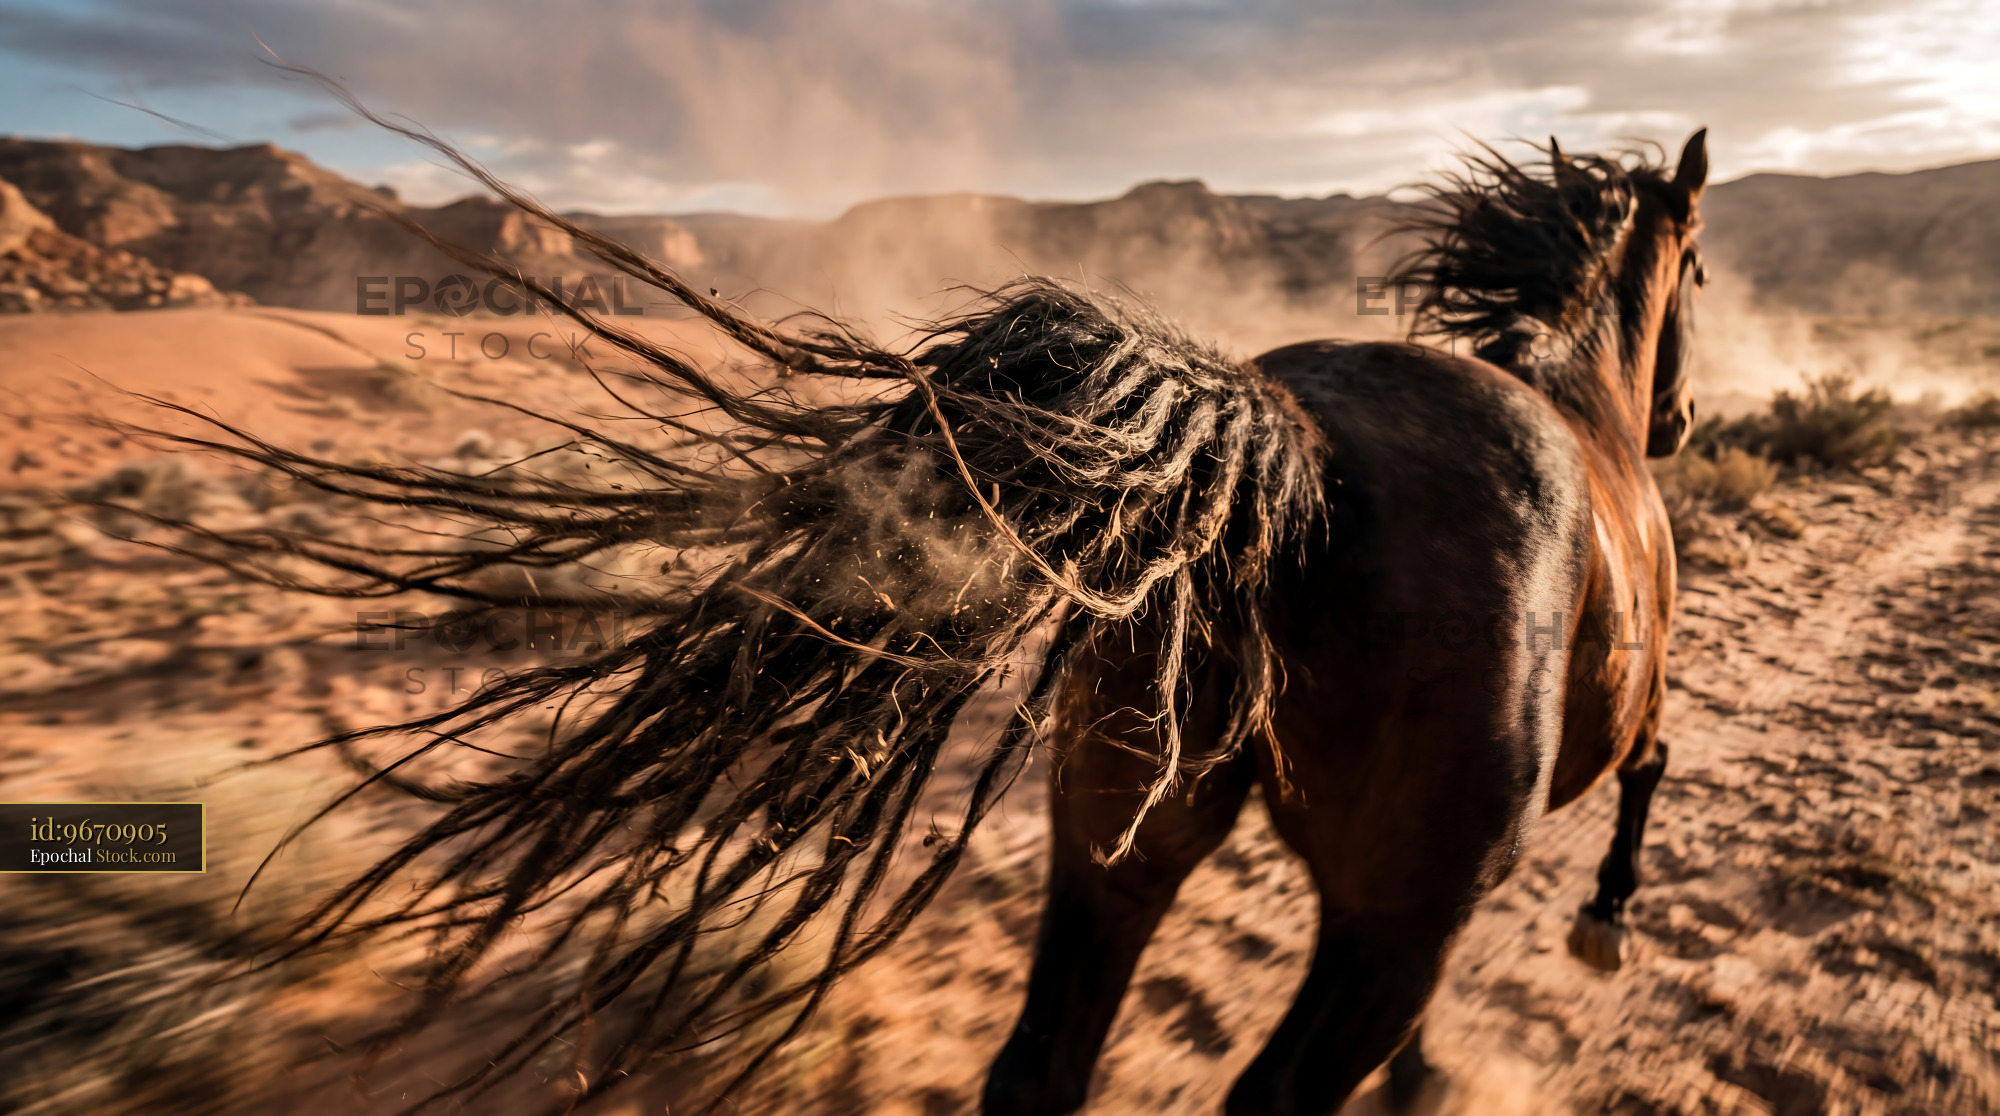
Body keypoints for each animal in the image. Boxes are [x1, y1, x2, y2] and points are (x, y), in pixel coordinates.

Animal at [129, 84, 1705, 1114]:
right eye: (1697, 269)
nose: (1683, 418)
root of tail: (1304, 451)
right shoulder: (1611, 737)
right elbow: (1655, 767)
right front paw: (1598, 928)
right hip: (1380, 918)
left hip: (1121, 838)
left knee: (1038, 1073)